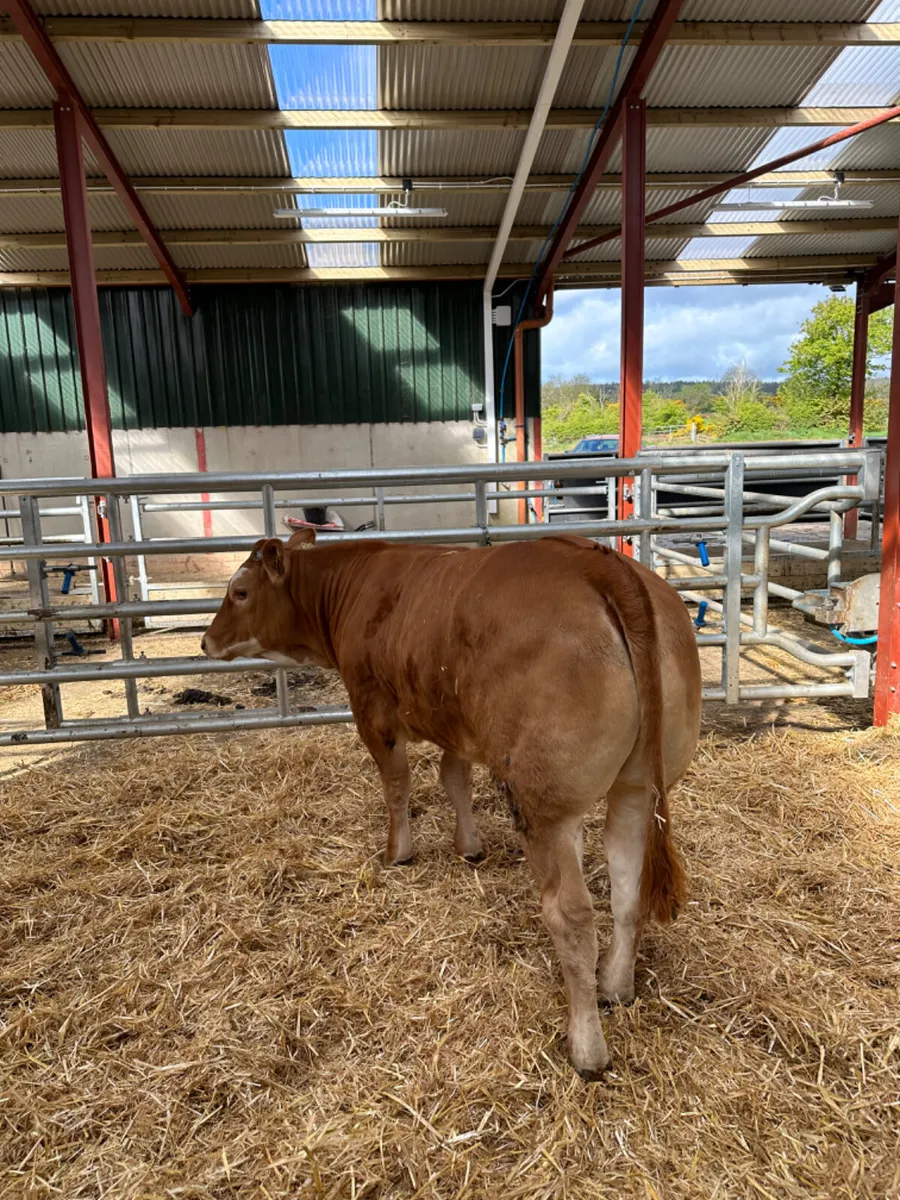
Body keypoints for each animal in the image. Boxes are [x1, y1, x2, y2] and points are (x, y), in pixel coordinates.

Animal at [202, 531, 702, 1079]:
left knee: (570, 917)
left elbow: (397, 783)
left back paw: (587, 1048)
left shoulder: (372, 709)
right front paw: (469, 846)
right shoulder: (456, 721)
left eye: (239, 591)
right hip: (637, 789)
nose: (205, 641)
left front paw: (398, 851)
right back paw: (615, 986)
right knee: (628, 890)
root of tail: (601, 563)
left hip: (546, 804)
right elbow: (453, 778)